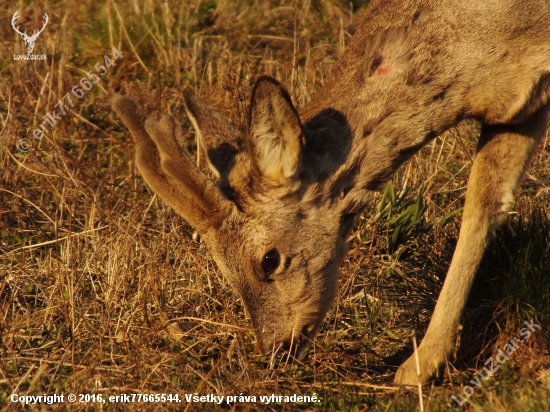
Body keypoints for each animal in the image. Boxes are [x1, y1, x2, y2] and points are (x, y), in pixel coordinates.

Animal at [112, 0, 550, 386]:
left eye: (269, 260)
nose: (276, 349)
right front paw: (424, 363)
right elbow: (483, 207)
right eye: (221, 268)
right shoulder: (516, 110)